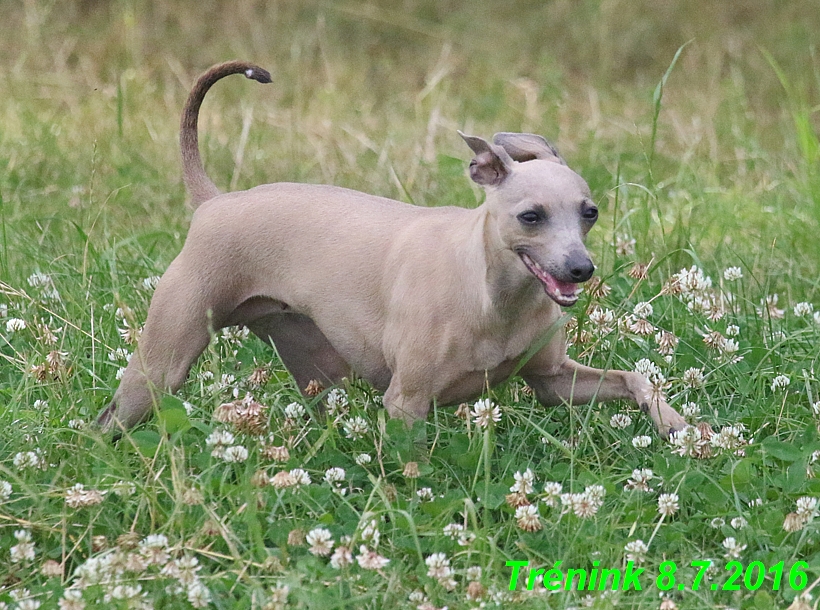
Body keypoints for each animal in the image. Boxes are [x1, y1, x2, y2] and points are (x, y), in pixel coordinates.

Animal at [94, 60, 684, 436]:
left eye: (590, 213)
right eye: (531, 217)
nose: (581, 269)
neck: (495, 296)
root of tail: (215, 200)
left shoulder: (553, 382)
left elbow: (637, 379)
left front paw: (674, 423)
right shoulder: (405, 404)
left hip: (317, 365)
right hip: (161, 365)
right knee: (111, 419)